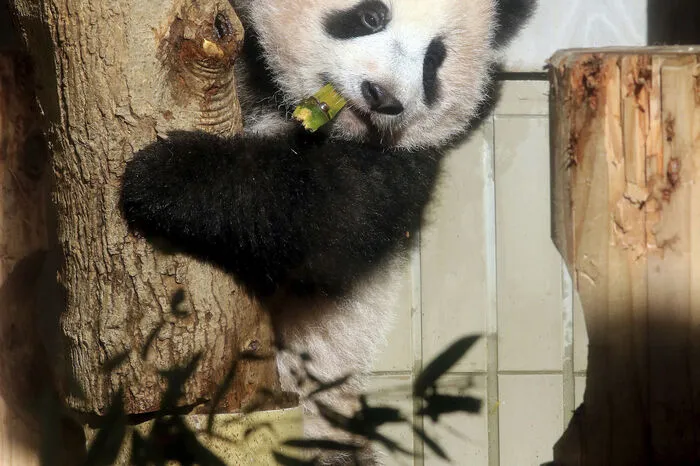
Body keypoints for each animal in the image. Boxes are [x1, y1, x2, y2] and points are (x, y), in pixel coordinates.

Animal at [121, 0, 535, 463]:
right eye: (371, 16)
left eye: (434, 60)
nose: (383, 96)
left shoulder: (407, 164)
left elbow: (328, 220)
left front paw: (169, 176)